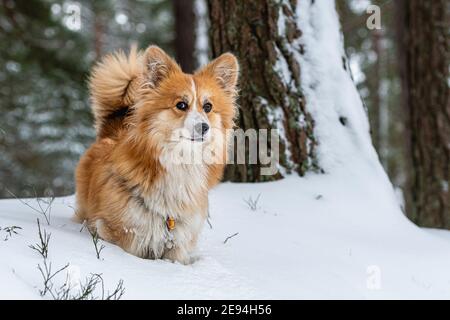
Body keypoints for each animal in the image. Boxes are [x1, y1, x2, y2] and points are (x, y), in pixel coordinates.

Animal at [75, 45, 239, 264]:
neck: (180, 164)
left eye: (208, 107)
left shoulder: (178, 243)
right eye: (181, 105)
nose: (204, 128)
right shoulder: (124, 233)